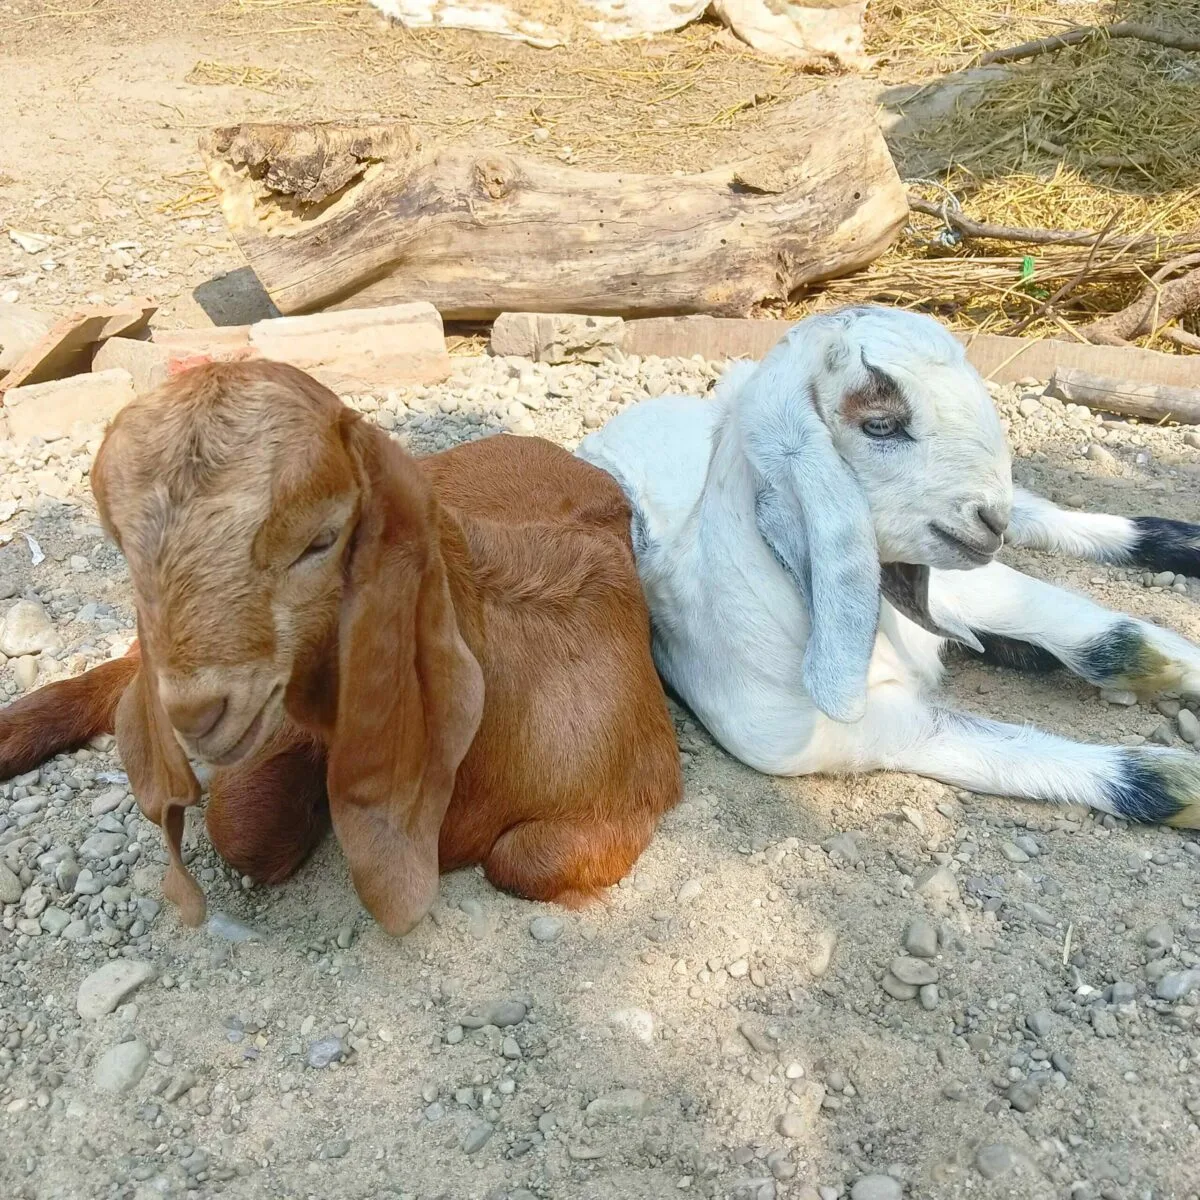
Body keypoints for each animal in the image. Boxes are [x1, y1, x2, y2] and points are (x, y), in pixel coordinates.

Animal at [576, 304, 1200, 826]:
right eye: (880, 425)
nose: (988, 519)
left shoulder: (973, 581)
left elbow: (1116, 639)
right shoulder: (791, 732)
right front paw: (1178, 783)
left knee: (1037, 512)